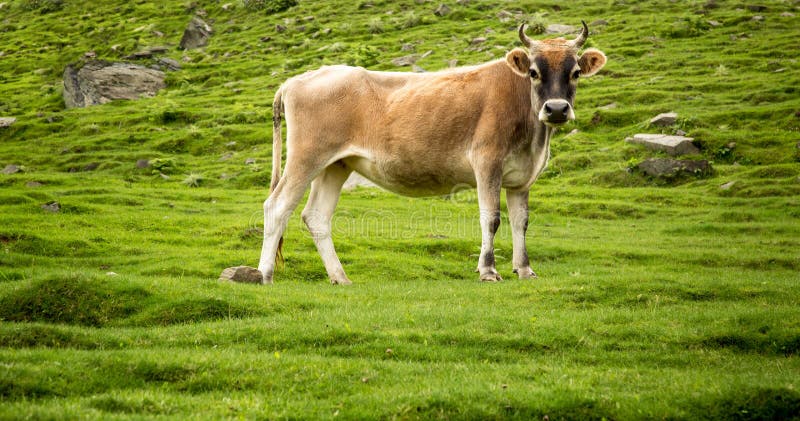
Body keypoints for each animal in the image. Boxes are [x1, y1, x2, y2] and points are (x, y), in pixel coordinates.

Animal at [256, 21, 608, 284]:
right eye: (534, 72)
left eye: (575, 72)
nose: (556, 109)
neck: (533, 139)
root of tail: (297, 80)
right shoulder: (487, 162)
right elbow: (491, 218)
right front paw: (488, 270)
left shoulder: (522, 177)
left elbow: (521, 222)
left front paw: (524, 269)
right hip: (306, 157)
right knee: (277, 206)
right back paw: (264, 274)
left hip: (336, 164)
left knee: (316, 216)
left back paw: (340, 277)